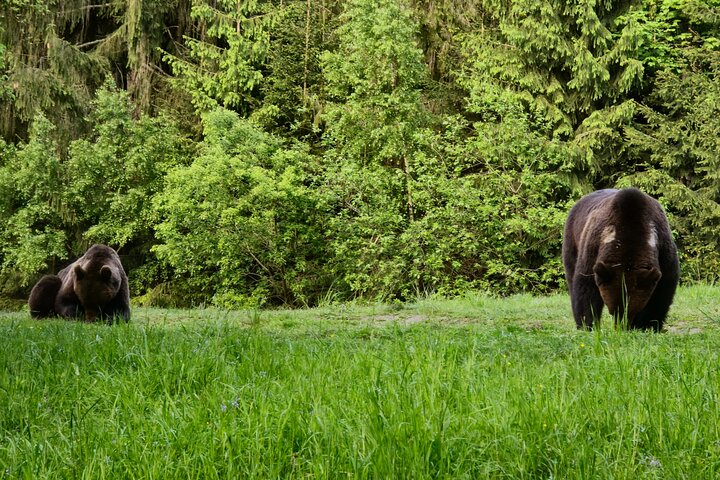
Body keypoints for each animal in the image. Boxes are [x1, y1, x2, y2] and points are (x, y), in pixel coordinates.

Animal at [562, 188, 679, 331]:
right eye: (613, 311)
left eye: (633, 311)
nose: (622, 327)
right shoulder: (594, 245)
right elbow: (585, 284)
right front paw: (587, 324)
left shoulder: (663, 247)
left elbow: (664, 288)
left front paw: (649, 324)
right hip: (572, 237)